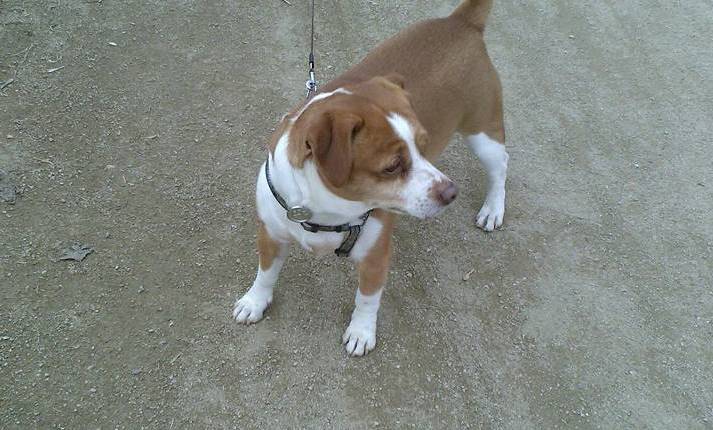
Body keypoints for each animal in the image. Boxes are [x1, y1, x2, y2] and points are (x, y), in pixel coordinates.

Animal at [233, 0, 508, 356]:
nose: (451, 193)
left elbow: (366, 299)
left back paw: (493, 208)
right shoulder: (270, 234)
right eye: (392, 166)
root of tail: (460, 22)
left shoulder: (376, 257)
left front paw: (361, 332)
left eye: (423, 145)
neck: (325, 211)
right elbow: (265, 272)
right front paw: (255, 301)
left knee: (500, 168)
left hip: (483, 134)